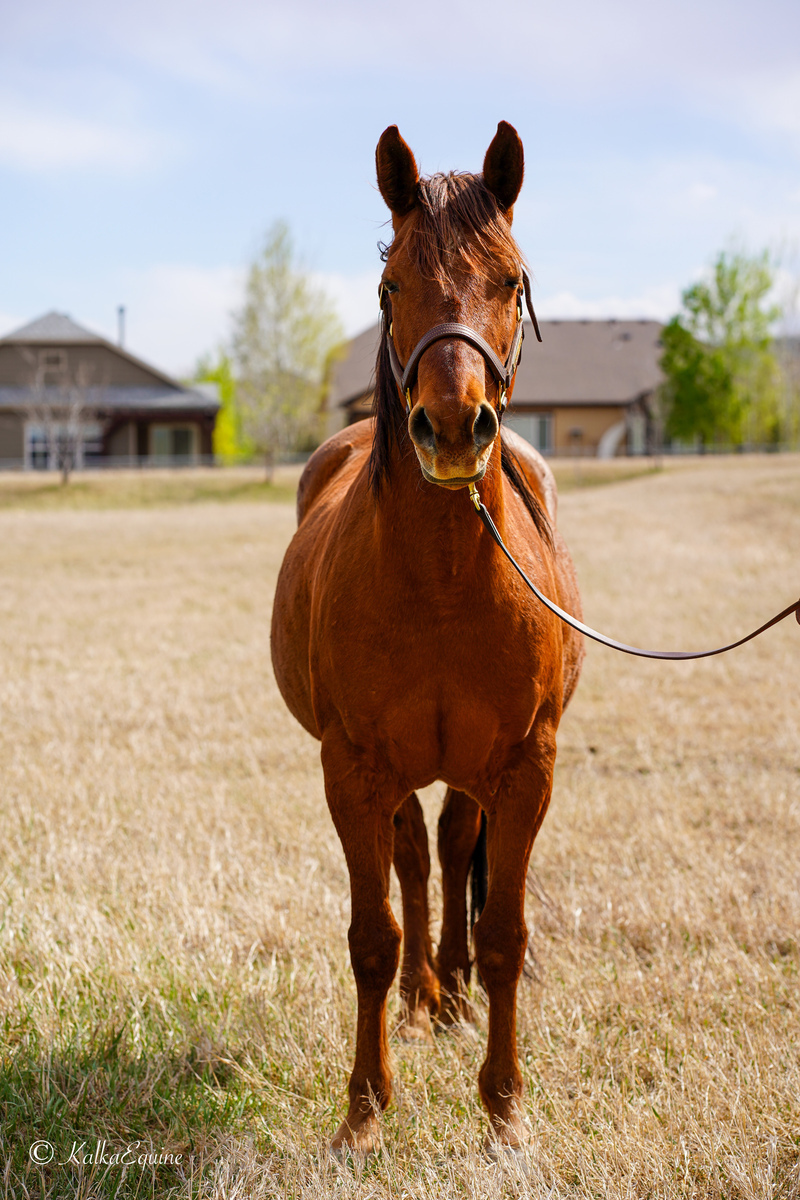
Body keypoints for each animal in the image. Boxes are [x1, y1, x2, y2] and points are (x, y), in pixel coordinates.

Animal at [271, 121, 584, 1154]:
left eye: (512, 280)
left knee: (449, 849)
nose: (451, 428)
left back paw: (450, 1000)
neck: (445, 584)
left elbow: (507, 935)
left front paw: (507, 1110)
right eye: (390, 285)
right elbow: (373, 936)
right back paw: (420, 1003)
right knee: (415, 859)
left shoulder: (526, 767)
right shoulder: (351, 766)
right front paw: (365, 1110)